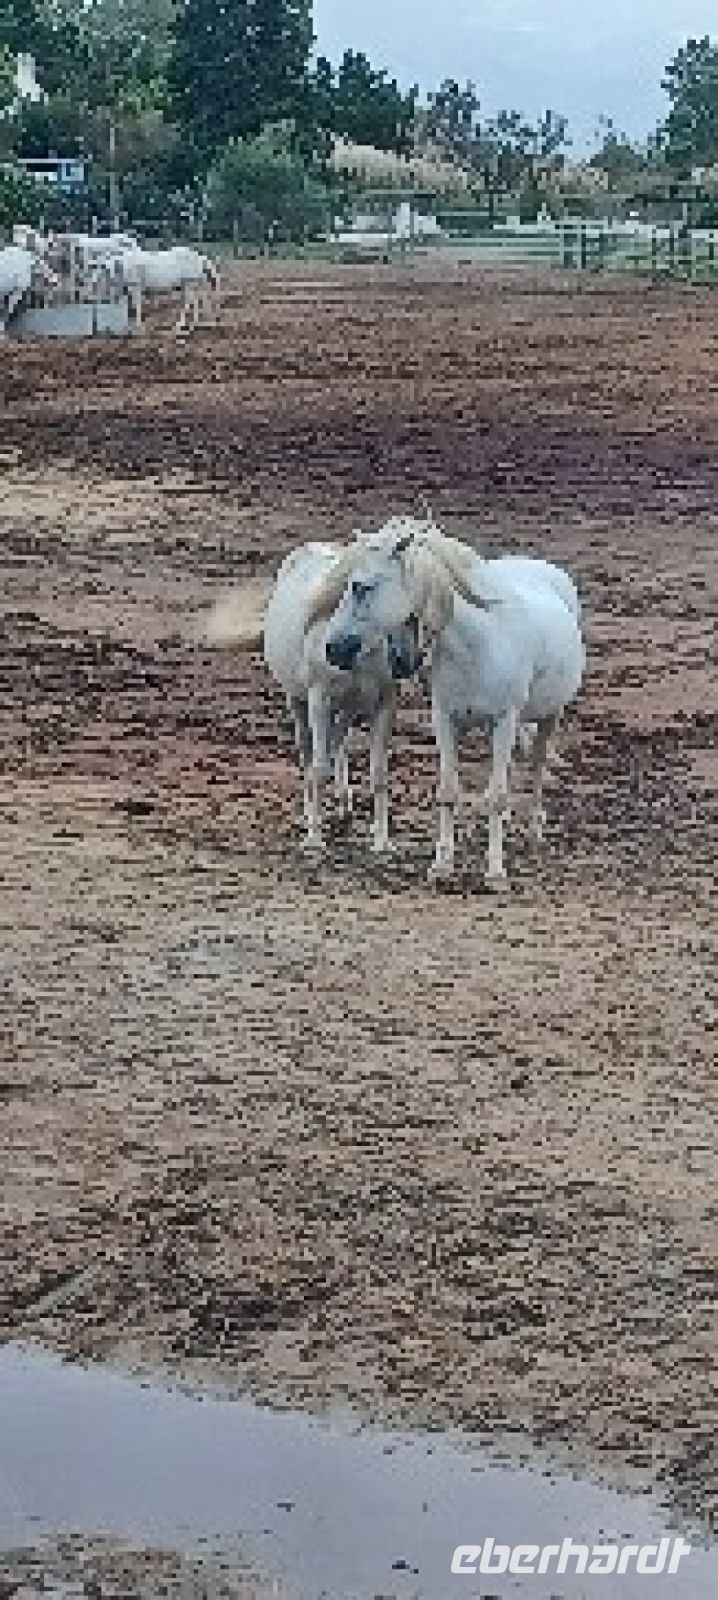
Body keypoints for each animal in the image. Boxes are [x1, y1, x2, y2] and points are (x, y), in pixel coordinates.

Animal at [203, 542, 422, 854]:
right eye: (359, 588)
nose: (405, 661)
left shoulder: (384, 703)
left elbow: (378, 773)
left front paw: (382, 842)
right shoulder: (320, 699)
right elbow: (317, 767)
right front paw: (314, 837)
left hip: (347, 706)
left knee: (337, 743)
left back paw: (344, 806)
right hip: (300, 701)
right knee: (310, 753)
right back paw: (315, 813)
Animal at [320, 518, 585, 888]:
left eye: (362, 587)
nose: (334, 650)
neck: (477, 644)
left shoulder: (505, 719)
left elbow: (497, 796)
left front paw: (495, 872)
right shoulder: (445, 719)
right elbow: (449, 791)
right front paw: (442, 864)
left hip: (549, 715)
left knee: (536, 766)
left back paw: (534, 830)